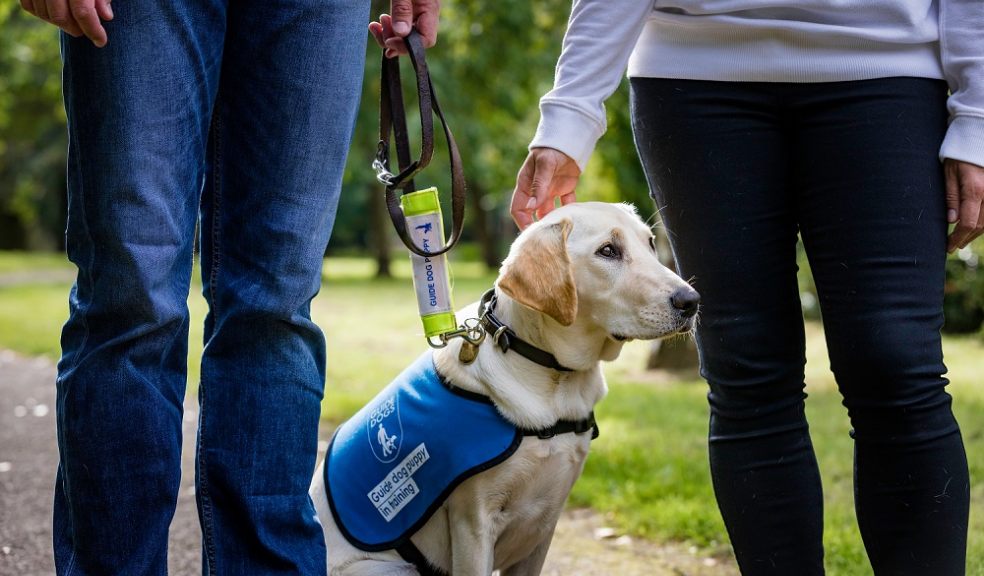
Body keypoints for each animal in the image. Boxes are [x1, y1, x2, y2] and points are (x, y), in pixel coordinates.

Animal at [310, 202, 700, 576]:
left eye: (651, 243)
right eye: (608, 250)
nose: (692, 300)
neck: (554, 378)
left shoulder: (544, 525)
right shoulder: (473, 523)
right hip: (390, 567)